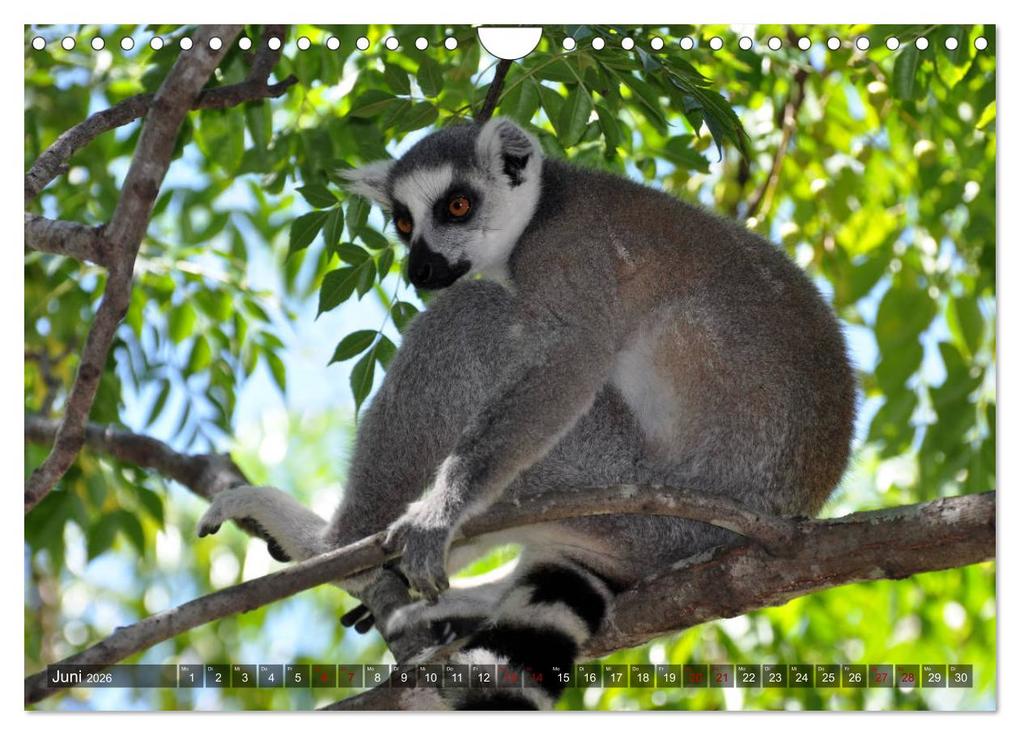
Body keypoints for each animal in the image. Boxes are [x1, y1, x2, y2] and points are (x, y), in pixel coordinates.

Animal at [197, 116, 856, 709]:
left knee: (468, 317)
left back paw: (333, 545)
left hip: (619, 486)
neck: (544, 209)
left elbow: (568, 361)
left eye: (458, 206)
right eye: (404, 221)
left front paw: (436, 517)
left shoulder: (574, 257)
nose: (420, 268)